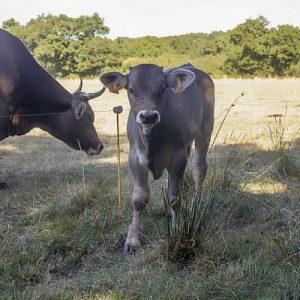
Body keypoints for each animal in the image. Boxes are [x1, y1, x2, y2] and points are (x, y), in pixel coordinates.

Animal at [102, 63, 214, 253]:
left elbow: (175, 197)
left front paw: (176, 231)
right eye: (131, 89)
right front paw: (133, 238)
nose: (148, 116)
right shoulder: (135, 158)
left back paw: (195, 206)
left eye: (162, 89)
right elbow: (139, 198)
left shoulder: (178, 157)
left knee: (199, 169)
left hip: (205, 131)